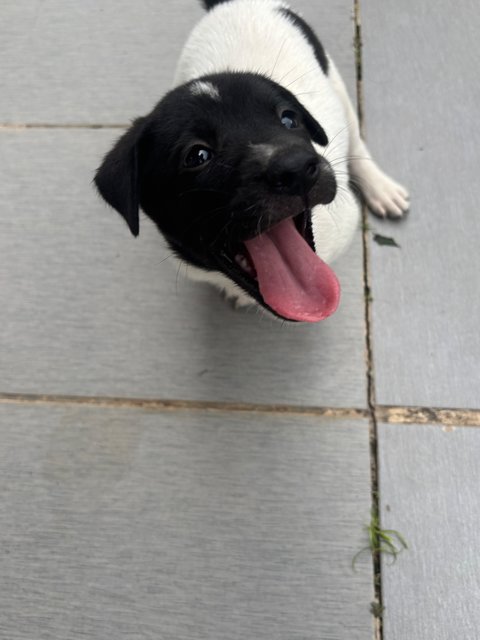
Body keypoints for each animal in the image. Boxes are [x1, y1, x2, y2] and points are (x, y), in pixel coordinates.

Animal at [94, 0, 408, 320]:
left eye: (289, 119)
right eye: (197, 156)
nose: (296, 169)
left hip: (336, 84)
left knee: (355, 135)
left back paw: (382, 189)